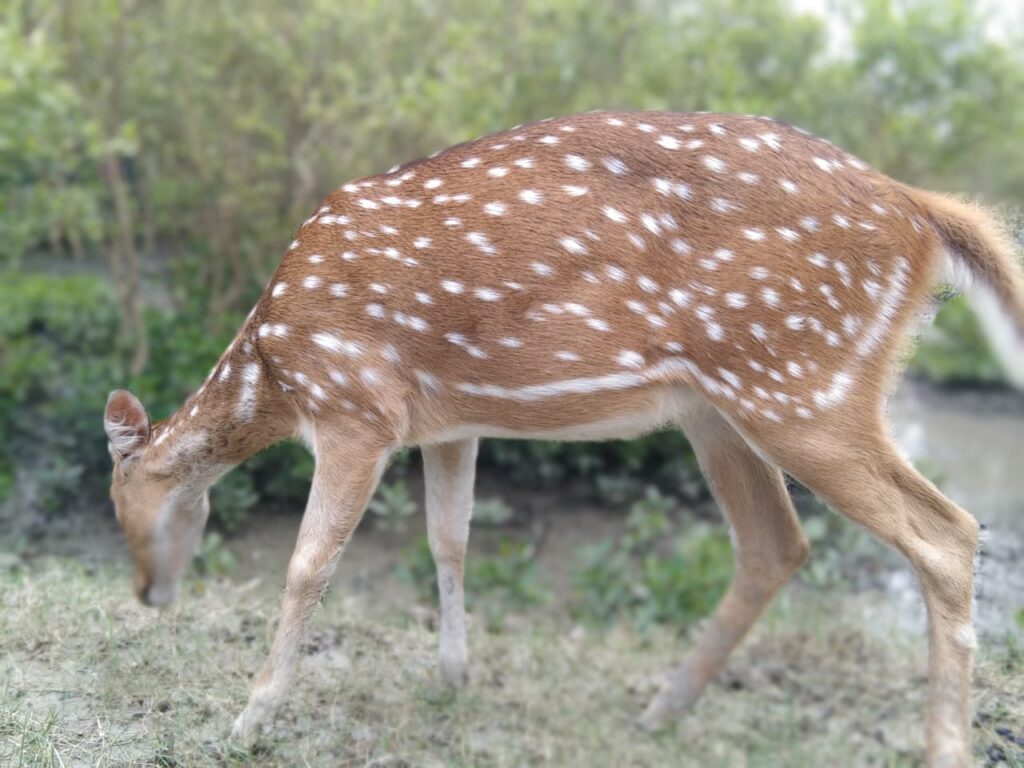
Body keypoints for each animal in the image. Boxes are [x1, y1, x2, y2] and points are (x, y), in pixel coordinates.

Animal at [105, 111, 1024, 765]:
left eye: (122, 507)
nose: (147, 592)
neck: (273, 372)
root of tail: (924, 212)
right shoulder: (447, 423)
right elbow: (449, 537)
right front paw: (455, 677)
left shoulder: (355, 409)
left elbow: (307, 566)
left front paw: (250, 720)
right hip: (725, 407)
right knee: (776, 544)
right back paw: (660, 711)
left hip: (802, 383)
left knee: (947, 532)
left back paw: (942, 746)